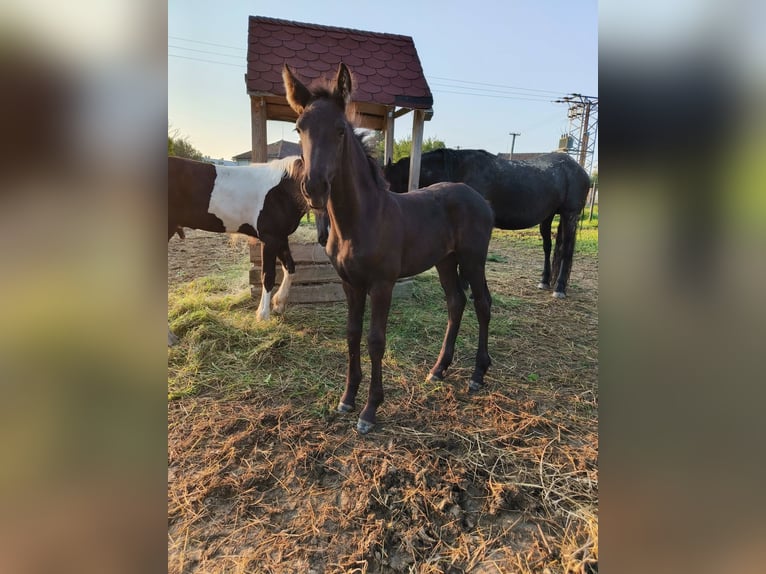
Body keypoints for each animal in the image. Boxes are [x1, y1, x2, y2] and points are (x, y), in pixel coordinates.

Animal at [168, 155, 306, 346]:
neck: (282, 189)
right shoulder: (270, 238)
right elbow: (268, 276)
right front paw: (263, 315)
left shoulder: (281, 238)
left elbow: (290, 268)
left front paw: (278, 304)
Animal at [283, 62, 494, 434]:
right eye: (299, 128)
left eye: (340, 130)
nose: (314, 188)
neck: (361, 218)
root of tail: (479, 199)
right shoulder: (350, 284)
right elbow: (352, 334)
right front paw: (347, 398)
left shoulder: (382, 285)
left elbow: (375, 340)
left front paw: (370, 411)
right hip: (446, 261)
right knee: (456, 303)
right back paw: (438, 369)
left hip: (473, 259)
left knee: (482, 304)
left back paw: (477, 374)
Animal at [384, 148, 591, 298]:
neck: (461, 171)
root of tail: (580, 170)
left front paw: (465, 286)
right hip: (548, 217)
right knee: (548, 248)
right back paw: (545, 281)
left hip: (570, 215)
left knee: (567, 250)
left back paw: (560, 288)